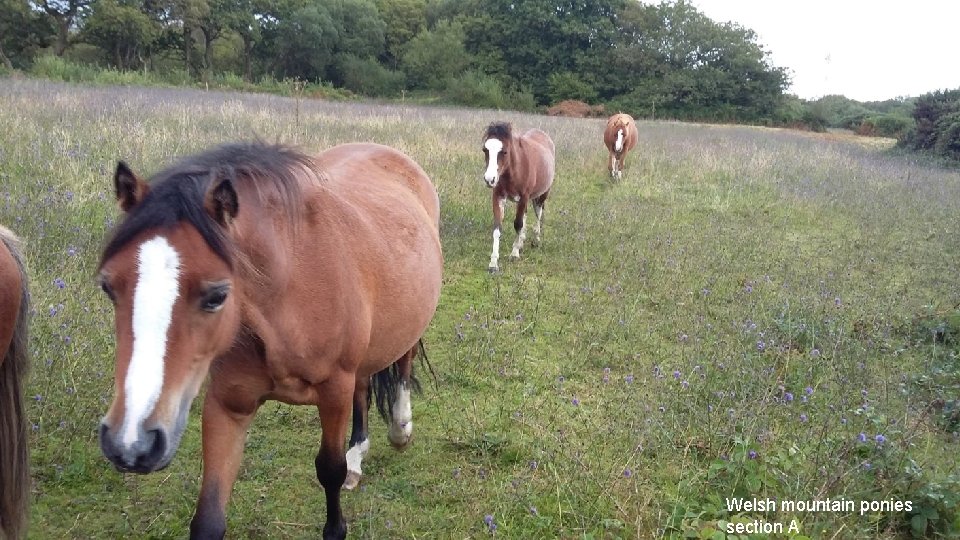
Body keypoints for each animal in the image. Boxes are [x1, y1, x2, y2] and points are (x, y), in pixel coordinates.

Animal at [97, 142, 442, 540]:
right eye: (108, 286)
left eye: (217, 295)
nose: (131, 442)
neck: (290, 290)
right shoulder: (228, 405)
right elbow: (208, 518)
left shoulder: (333, 393)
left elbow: (330, 470)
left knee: (403, 363)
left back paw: (400, 430)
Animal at [480, 123, 556, 274]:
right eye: (485, 150)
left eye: (504, 152)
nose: (489, 179)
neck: (514, 169)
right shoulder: (498, 196)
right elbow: (497, 227)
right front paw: (493, 264)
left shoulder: (524, 197)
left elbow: (518, 224)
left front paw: (514, 254)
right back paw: (522, 242)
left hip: (541, 195)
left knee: (538, 213)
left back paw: (536, 240)